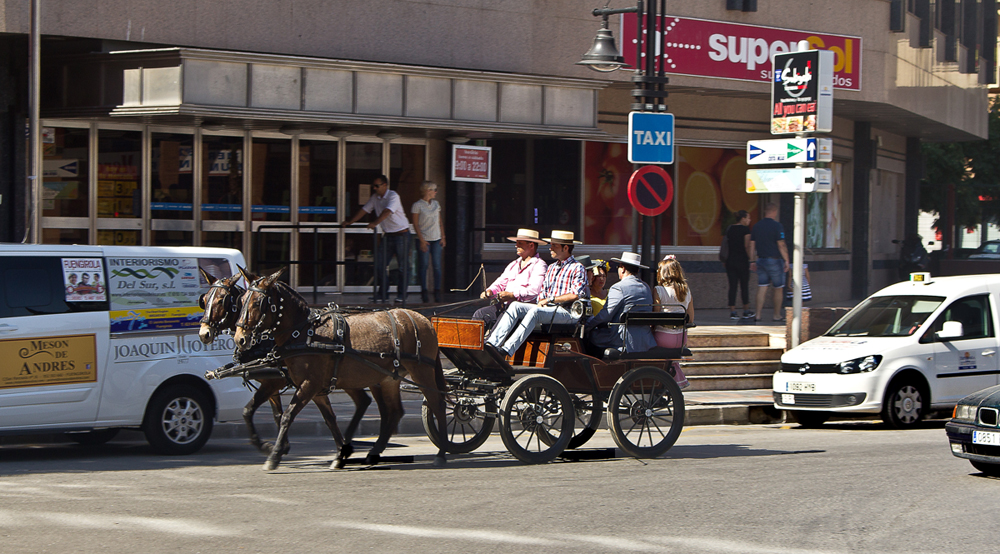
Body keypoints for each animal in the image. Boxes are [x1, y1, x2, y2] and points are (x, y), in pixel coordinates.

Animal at [197, 268, 374, 458]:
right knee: (363, 400)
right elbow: (281, 414)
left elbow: (251, 410)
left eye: (221, 300)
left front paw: (267, 446)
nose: (203, 334)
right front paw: (281, 446)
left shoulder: (277, 381)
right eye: (204, 300)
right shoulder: (286, 383)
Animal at [230, 266, 450, 468]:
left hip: (422, 371)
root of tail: (424, 321)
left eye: (257, 302)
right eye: (241, 301)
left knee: (437, 404)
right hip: (389, 378)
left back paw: (442, 451)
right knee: (394, 411)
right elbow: (328, 418)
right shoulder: (313, 386)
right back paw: (374, 451)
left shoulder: (309, 383)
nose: (240, 339)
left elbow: (287, 416)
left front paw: (274, 455)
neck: (303, 333)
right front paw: (339, 453)